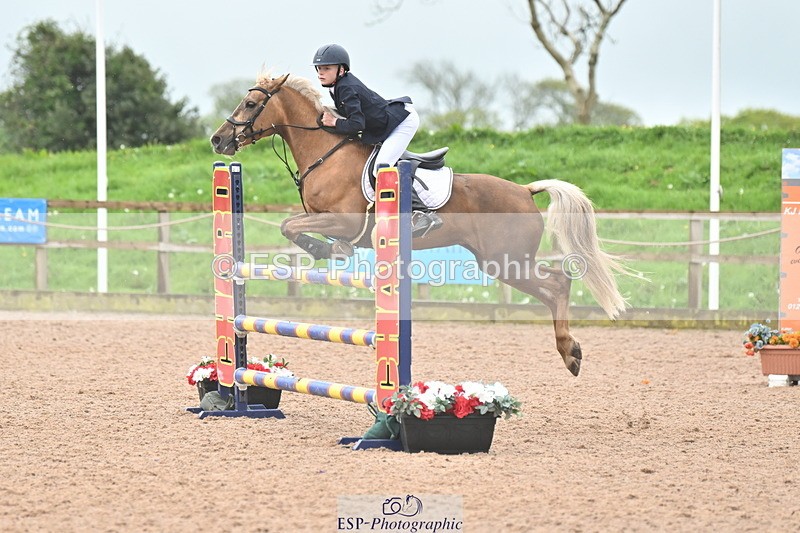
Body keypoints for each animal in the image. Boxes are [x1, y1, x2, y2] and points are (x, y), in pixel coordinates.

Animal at [210, 72, 628, 377]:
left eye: (251, 103)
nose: (218, 140)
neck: (325, 153)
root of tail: (525, 190)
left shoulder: (346, 220)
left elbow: (291, 227)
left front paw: (324, 250)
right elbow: (293, 226)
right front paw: (330, 250)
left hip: (505, 260)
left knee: (558, 283)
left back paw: (570, 352)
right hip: (500, 262)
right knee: (553, 287)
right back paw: (569, 351)